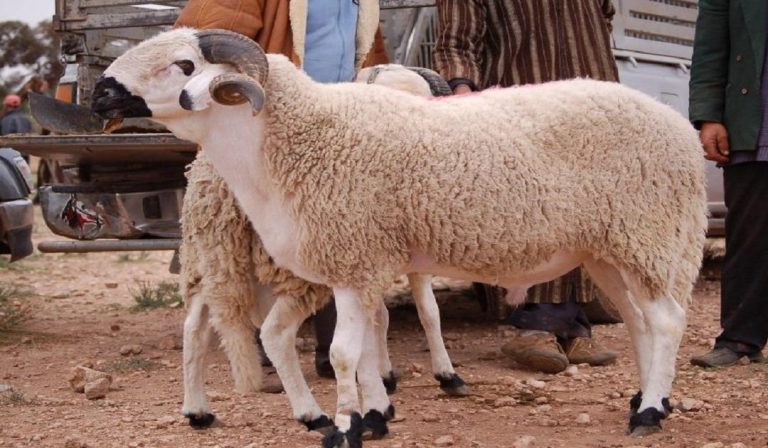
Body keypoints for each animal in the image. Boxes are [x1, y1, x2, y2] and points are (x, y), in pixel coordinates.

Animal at [92, 28, 708, 445]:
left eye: (184, 64)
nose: (100, 93)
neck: (293, 139)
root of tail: (681, 129)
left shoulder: (354, 255)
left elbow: (344, 352)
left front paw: (344, 427)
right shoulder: (359, 264)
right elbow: (364, 346)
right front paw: (372, 415)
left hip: (649, 232)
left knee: (668, 320)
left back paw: (650, 413)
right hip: (609, 247)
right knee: (640, 320)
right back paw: (645, 396)